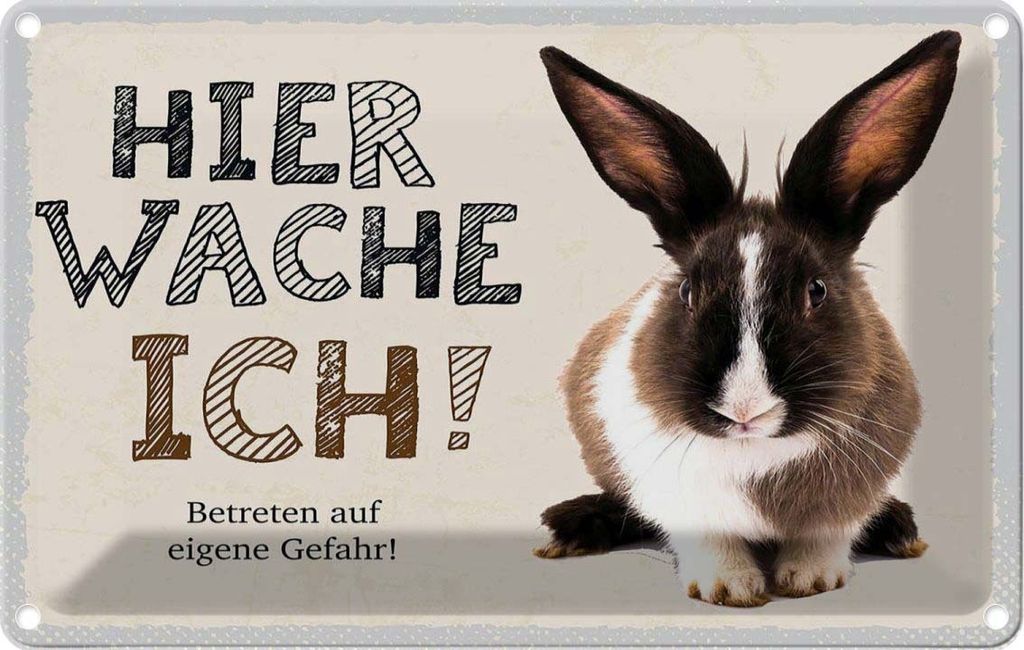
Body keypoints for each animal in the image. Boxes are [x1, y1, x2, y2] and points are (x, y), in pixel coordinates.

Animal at [534, 31, 959, 607]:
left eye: (817, 290)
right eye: (687, 291)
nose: (744, 409)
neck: (753, 450)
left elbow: (827, 534)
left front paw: (810, 579)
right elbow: (705, 536)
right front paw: (729, 587)